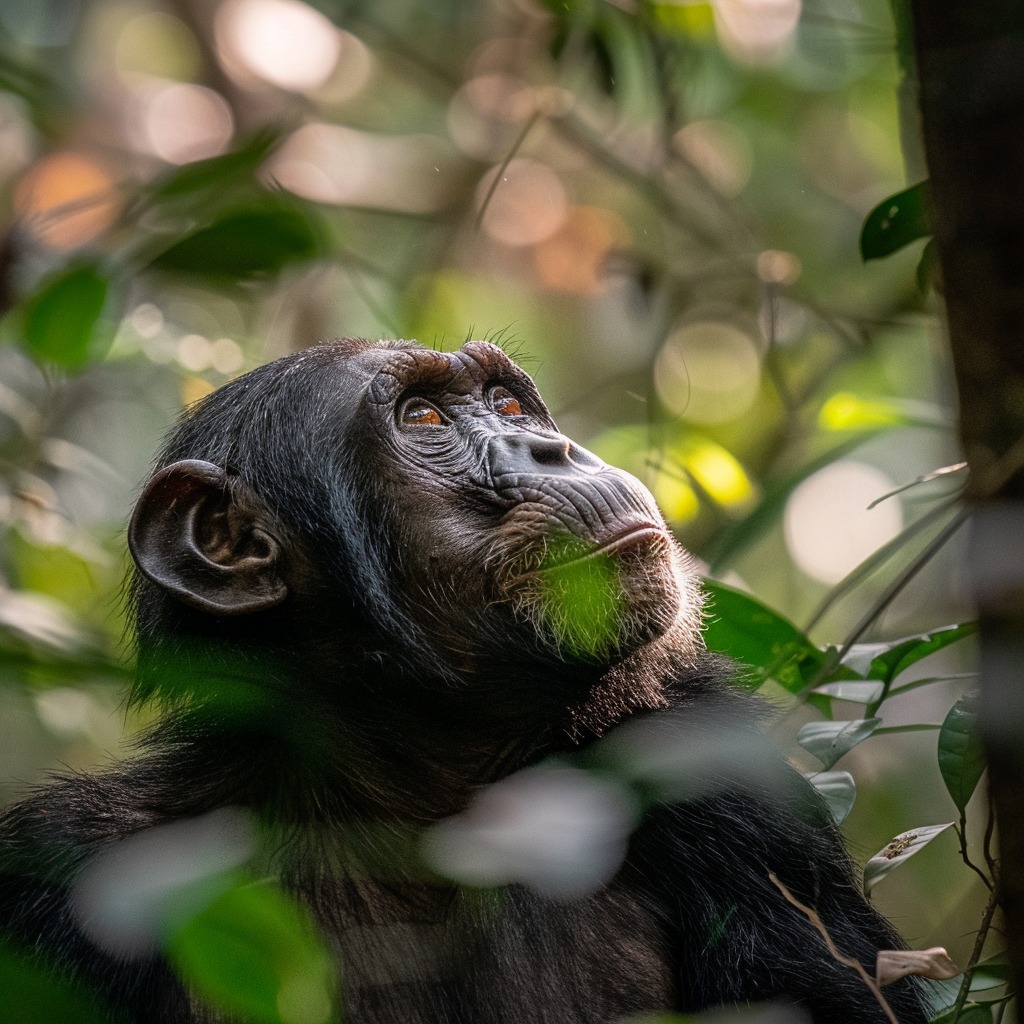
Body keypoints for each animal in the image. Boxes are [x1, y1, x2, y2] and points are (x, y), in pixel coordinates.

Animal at [0, 339, 929, 1019]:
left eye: (508, 404)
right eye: (422, 416)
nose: (553, 447)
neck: (421, 785)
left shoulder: (722, 780)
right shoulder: (65, 871)